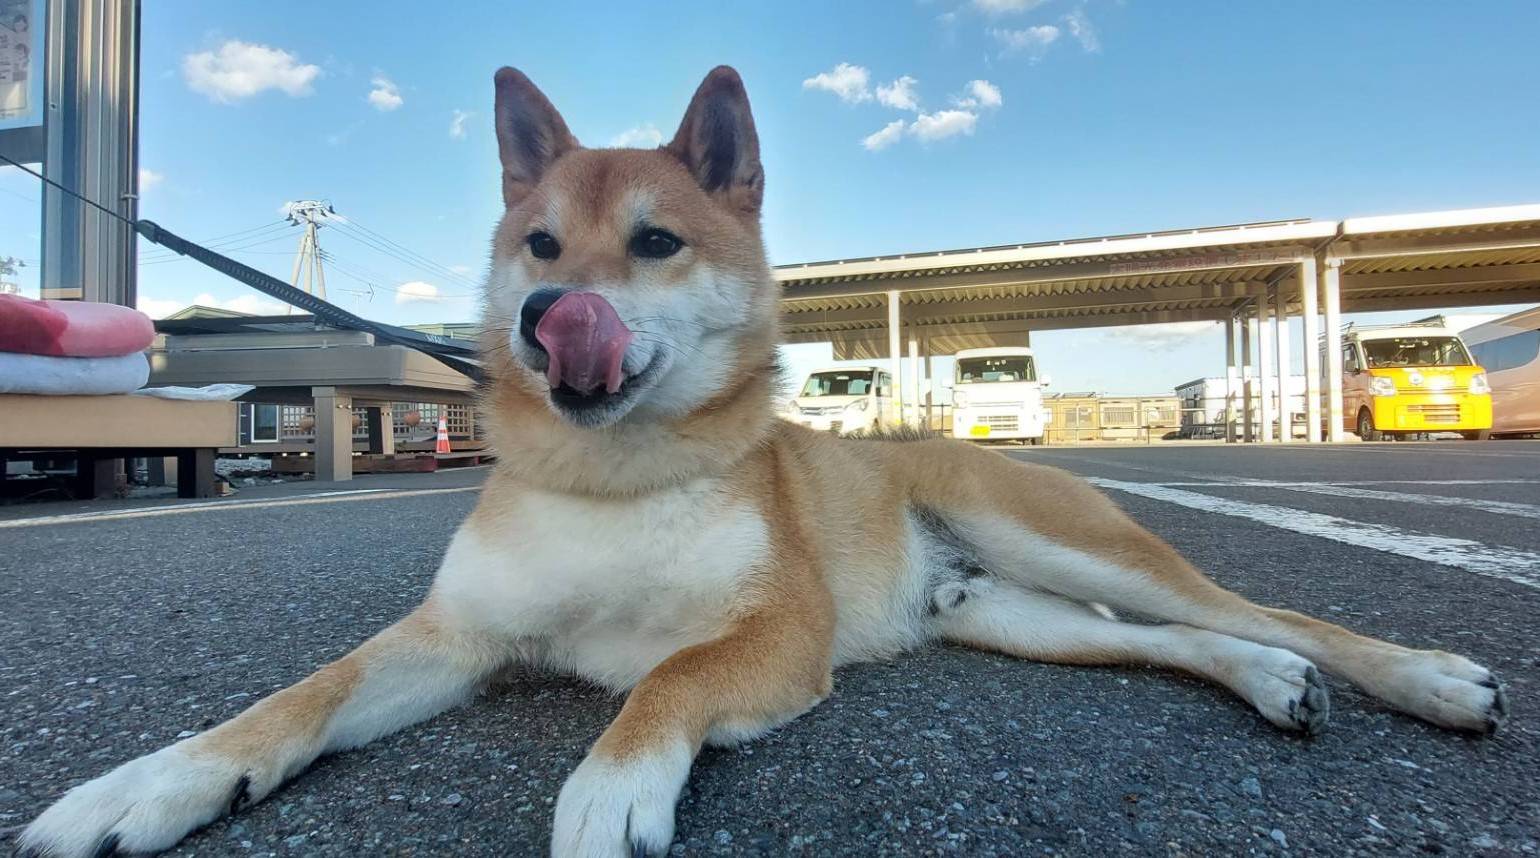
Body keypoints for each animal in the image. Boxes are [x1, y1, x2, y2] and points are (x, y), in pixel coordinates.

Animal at [18, 63, 1509, 850]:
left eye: (656, 242)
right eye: (539, 244)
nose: (549, 313)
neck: (609, 479)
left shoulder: (777, 633)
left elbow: (666, 678)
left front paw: (612, 783)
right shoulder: (453, 637)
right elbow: (298, 699)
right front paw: (148, 784)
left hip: (1052, 534)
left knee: (1267, 610)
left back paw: (1424, 677)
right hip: (1003, 609)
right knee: (1178, 639)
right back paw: (1271, 686)